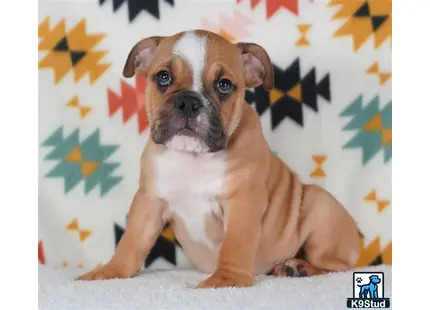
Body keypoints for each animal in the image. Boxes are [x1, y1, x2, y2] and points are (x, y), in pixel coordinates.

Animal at [77, 30, 360, 286]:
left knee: (337, 266)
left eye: (224, 85)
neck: (192, 157)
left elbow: (235, 244)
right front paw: (110, 272)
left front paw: (226, 279)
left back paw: (298, 267)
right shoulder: (149, 201)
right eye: (163, 77)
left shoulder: (242, 202)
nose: (188, 101)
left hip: (321, 207)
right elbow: (132, 240)